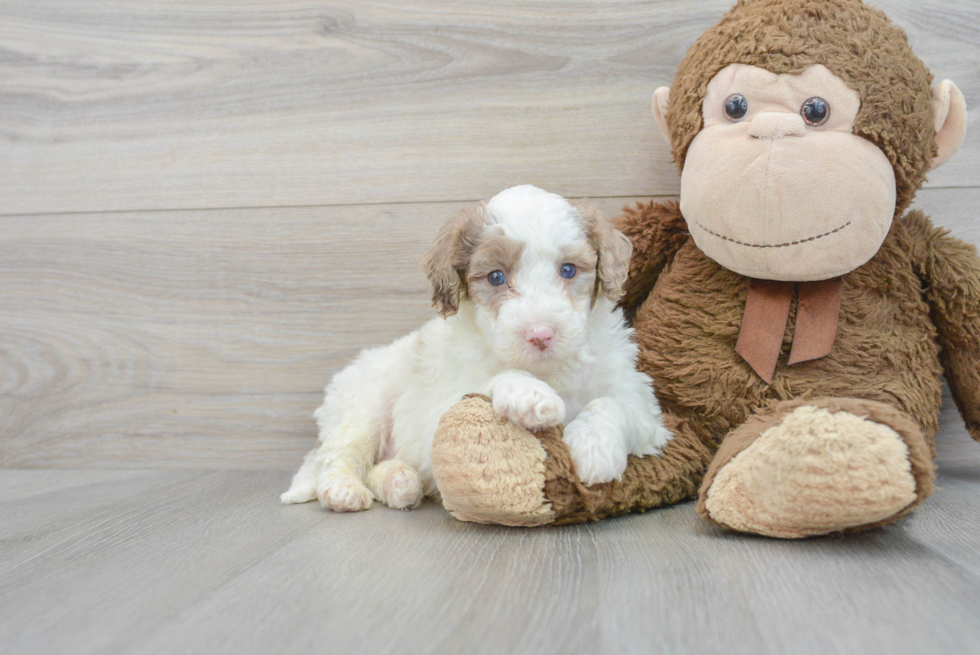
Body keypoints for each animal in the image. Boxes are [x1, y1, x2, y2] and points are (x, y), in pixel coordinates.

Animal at [280, 184, 668, 512]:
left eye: (569, 270)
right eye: (496, 276)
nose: (540, 334)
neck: (547, 369)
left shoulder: (641, 401)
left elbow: (614, 404)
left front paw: (594, 448)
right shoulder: (441, 407)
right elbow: (486, 383)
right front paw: (530, 395)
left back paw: (399, 482)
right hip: (362, 404)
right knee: (337, 456)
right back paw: (343, 489)